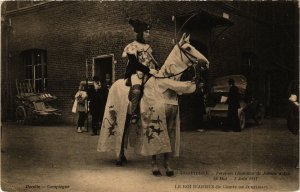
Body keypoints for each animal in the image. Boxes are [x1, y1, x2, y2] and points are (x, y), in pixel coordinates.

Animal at [97, 32, 210, 176]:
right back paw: (118, 159)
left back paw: (122, 157)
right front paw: (155, 168)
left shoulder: (171, 120)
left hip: (127, 116)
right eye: (188, 48)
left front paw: (168, 168)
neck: (164, 87)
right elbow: (154, 142)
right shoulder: (154, 116)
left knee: (123, 134)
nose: (206, 63)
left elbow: (167, 143)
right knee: (119, 134)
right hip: (119, 114)